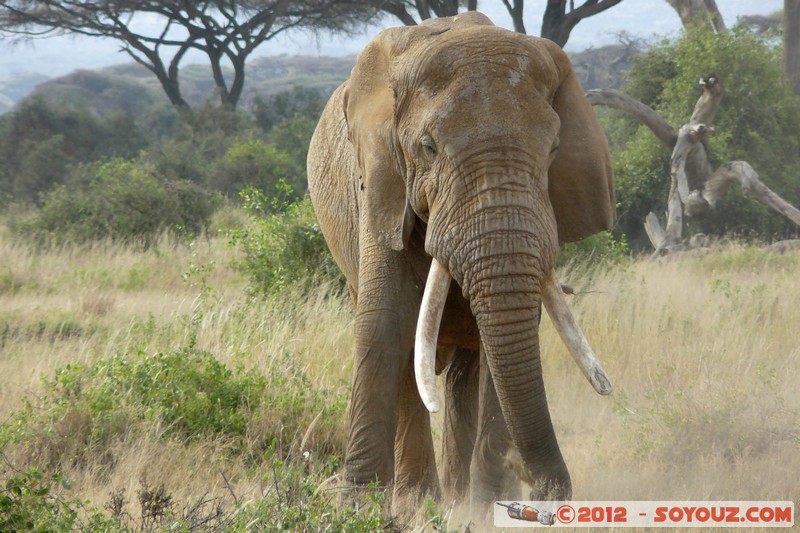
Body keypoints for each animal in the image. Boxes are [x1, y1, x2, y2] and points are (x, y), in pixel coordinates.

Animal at [306, 12, 615, 514]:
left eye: (553, 149)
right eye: (428, 147)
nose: (541, 487)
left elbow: (503, 339)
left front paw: (490, 507)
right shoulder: (379, 184)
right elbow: (385, 321)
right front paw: (355, 506)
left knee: (464, 369)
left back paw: (455, 500)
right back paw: (419, 500)